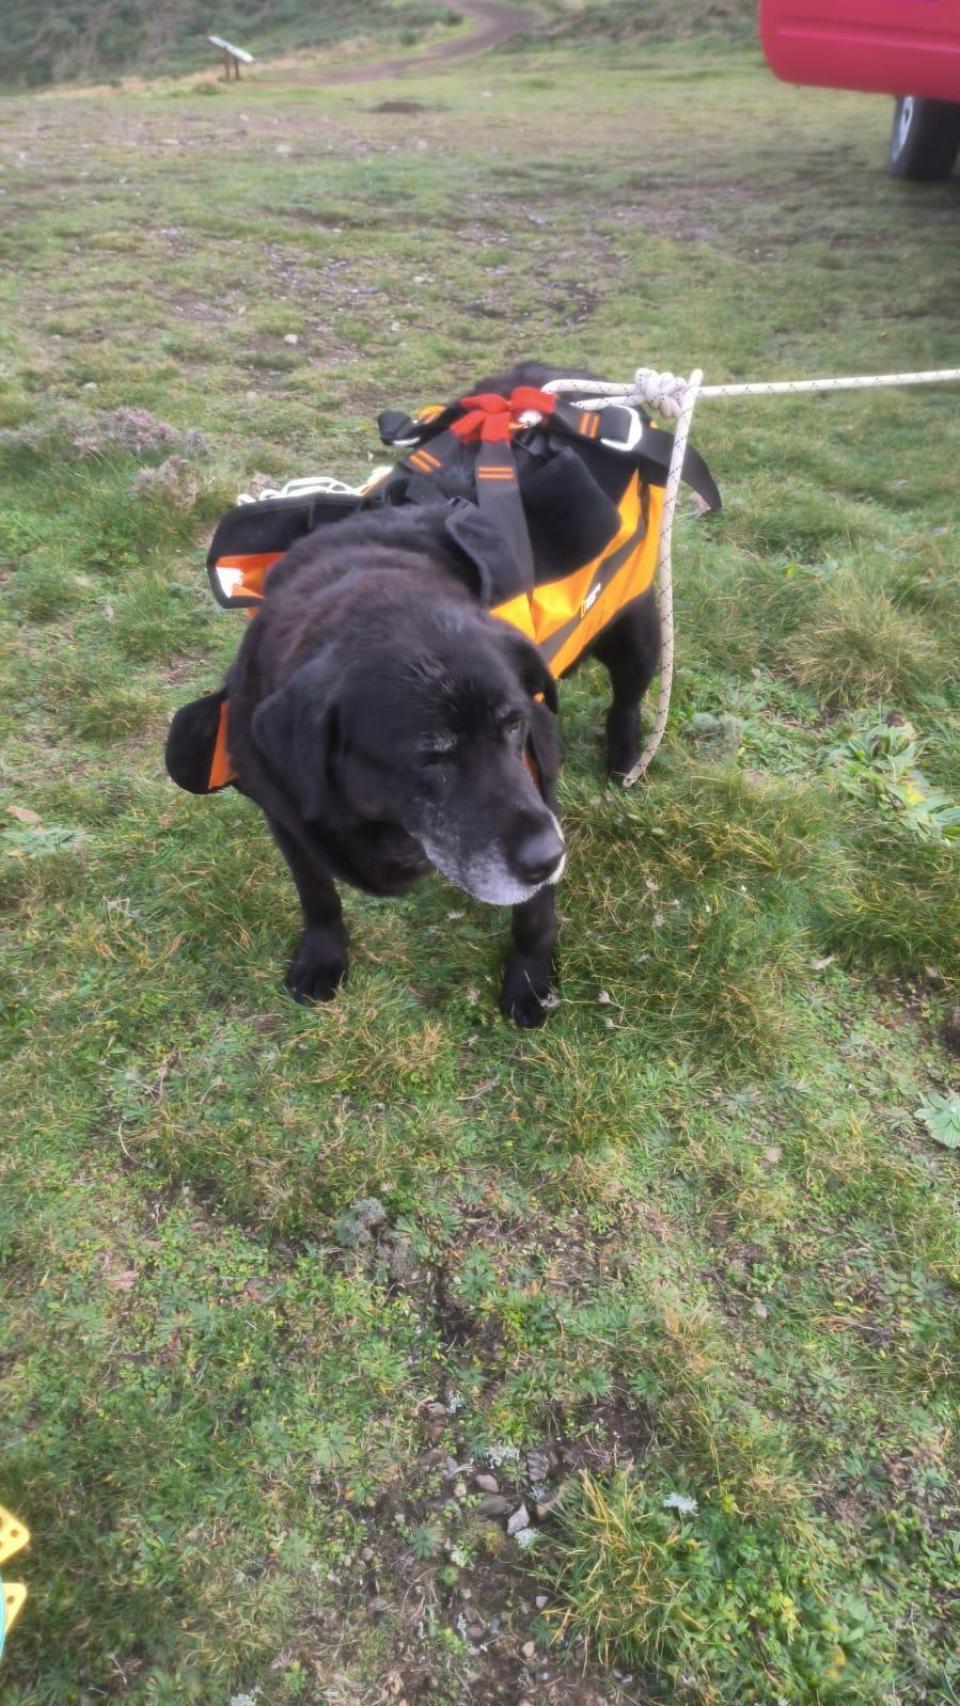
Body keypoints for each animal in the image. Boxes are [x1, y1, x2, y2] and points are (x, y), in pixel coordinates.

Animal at [187, 361, 665, 1023]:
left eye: (513, 726)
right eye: (429, 755)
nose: (549, 858)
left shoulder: (536, 779)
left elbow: (535, 913)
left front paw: (529, 979)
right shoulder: (284, 816)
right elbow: (317, 895)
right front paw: (323, 957)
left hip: (635, 630)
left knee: (627, 701)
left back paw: (623, 763)